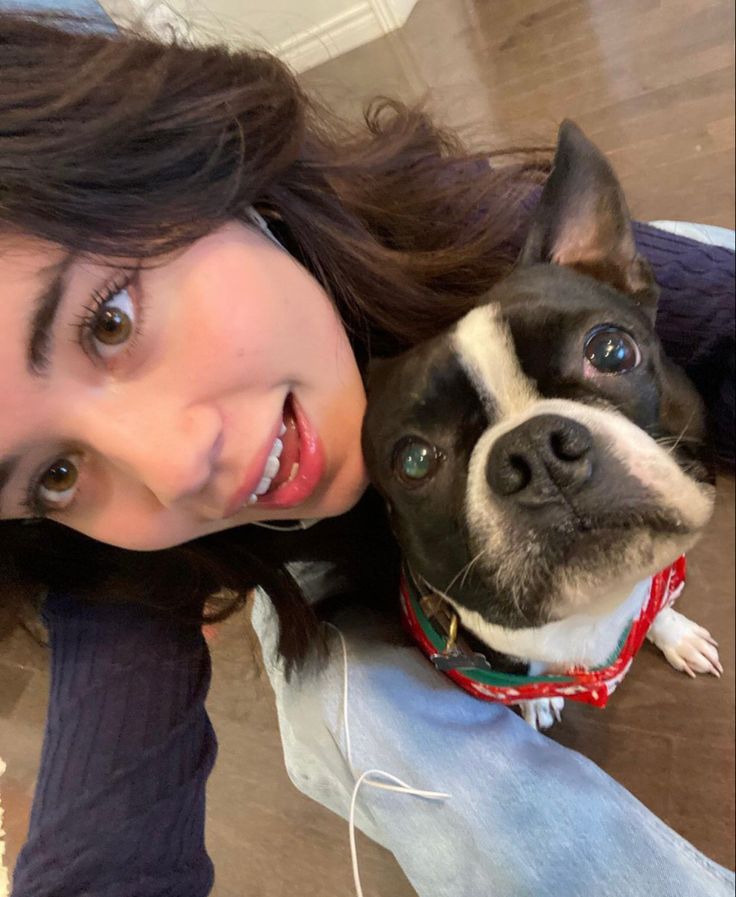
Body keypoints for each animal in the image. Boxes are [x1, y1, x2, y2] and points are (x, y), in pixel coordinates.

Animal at [366, 119, 720, 728]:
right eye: (414, 461)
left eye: (611, 350)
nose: (535, 451)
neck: (589, 616)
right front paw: (538, 700)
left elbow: (653, 606)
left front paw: (674, 632)